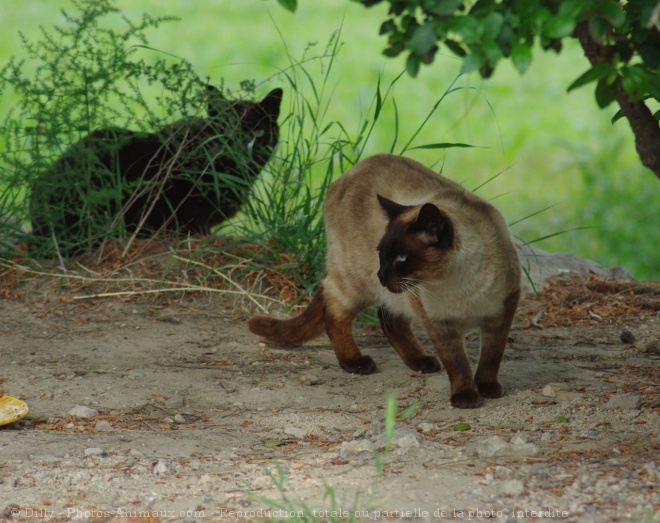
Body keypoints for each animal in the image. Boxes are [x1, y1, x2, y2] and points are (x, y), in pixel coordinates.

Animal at [248, 154, 520, 408]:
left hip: (396, 292)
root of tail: (346, 175)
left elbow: (491, 357)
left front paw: (487, 388)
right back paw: (355, 363)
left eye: (401, 257)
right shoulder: (439, 324)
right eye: (382, 254)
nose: (381, 274)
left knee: (387, 317)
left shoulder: (500, 315)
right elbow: (457, 363)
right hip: (359, 282)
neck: (455, 285)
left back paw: (421, 362)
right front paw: (466, 398)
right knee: (334, 307)